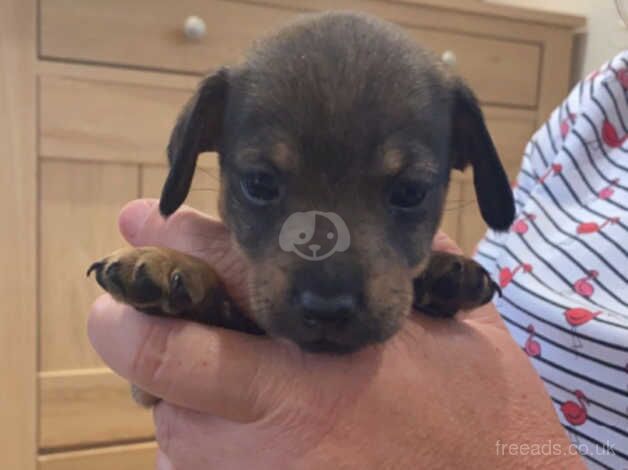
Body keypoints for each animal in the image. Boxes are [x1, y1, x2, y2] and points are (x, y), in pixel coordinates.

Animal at [88, 12, 512, 406]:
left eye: (411, 192)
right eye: (259, 183)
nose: (328, 309)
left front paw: (443, 271)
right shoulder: (150, 391)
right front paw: (170, 261)